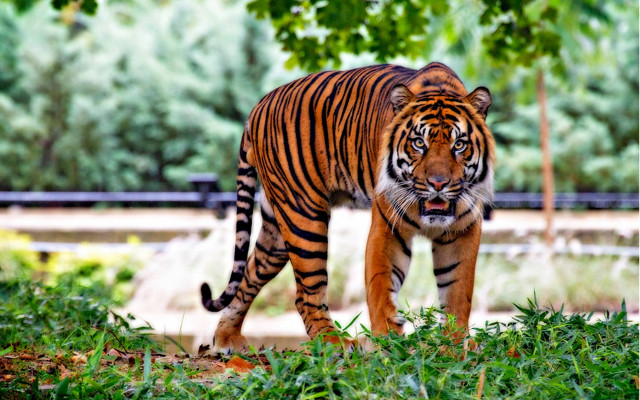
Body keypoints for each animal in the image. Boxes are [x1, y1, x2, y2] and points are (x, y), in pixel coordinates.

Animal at [201, 62, 495, 353]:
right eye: (419, 143)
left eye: (459, 145)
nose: (438, 183)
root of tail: (258, 106)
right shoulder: (387, 228)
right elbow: (381, 287)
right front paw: (388, 344)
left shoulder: (463, 230)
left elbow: (458, 292)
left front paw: (454, 344)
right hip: (304, 217)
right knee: (306, 294)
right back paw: (335, 342)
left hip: (276, 231)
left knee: (250, 274)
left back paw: (227, 338)